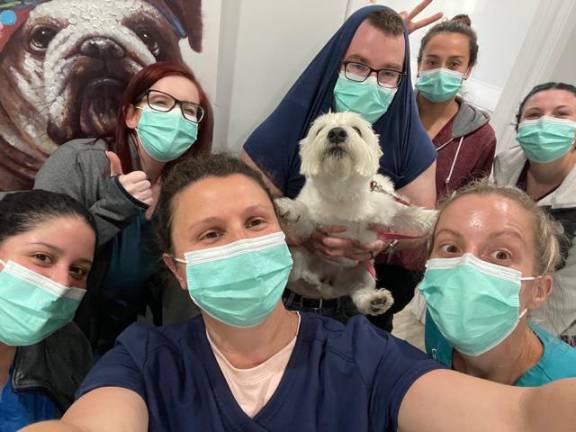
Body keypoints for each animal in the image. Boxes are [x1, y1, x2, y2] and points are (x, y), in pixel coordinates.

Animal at [276, 111, 436, 314]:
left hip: (364, 271)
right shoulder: (312, 225)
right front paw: (290, 208)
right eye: (320, 129)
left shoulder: (384, 207)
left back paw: (375, 301)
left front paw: (433, 217)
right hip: (301, 255)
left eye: (357, 130)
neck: (342, 190)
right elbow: (304, 216)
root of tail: (328, 283)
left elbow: (406, 213)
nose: (336, 133)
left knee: (359, 291)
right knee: (295, 269)